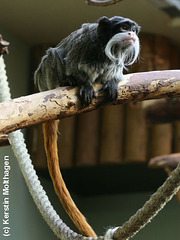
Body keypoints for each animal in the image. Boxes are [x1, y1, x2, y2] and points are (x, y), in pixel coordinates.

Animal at [34, 15, 141, 236]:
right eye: (123, 28)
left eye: (134, 30)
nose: (131, 34)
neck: (104, 48)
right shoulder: (84, 44)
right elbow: (71, 64)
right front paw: (82, 83)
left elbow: (114, 75)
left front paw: (111, 82)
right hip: (44, 78)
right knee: (52, 55)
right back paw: (66, 81)